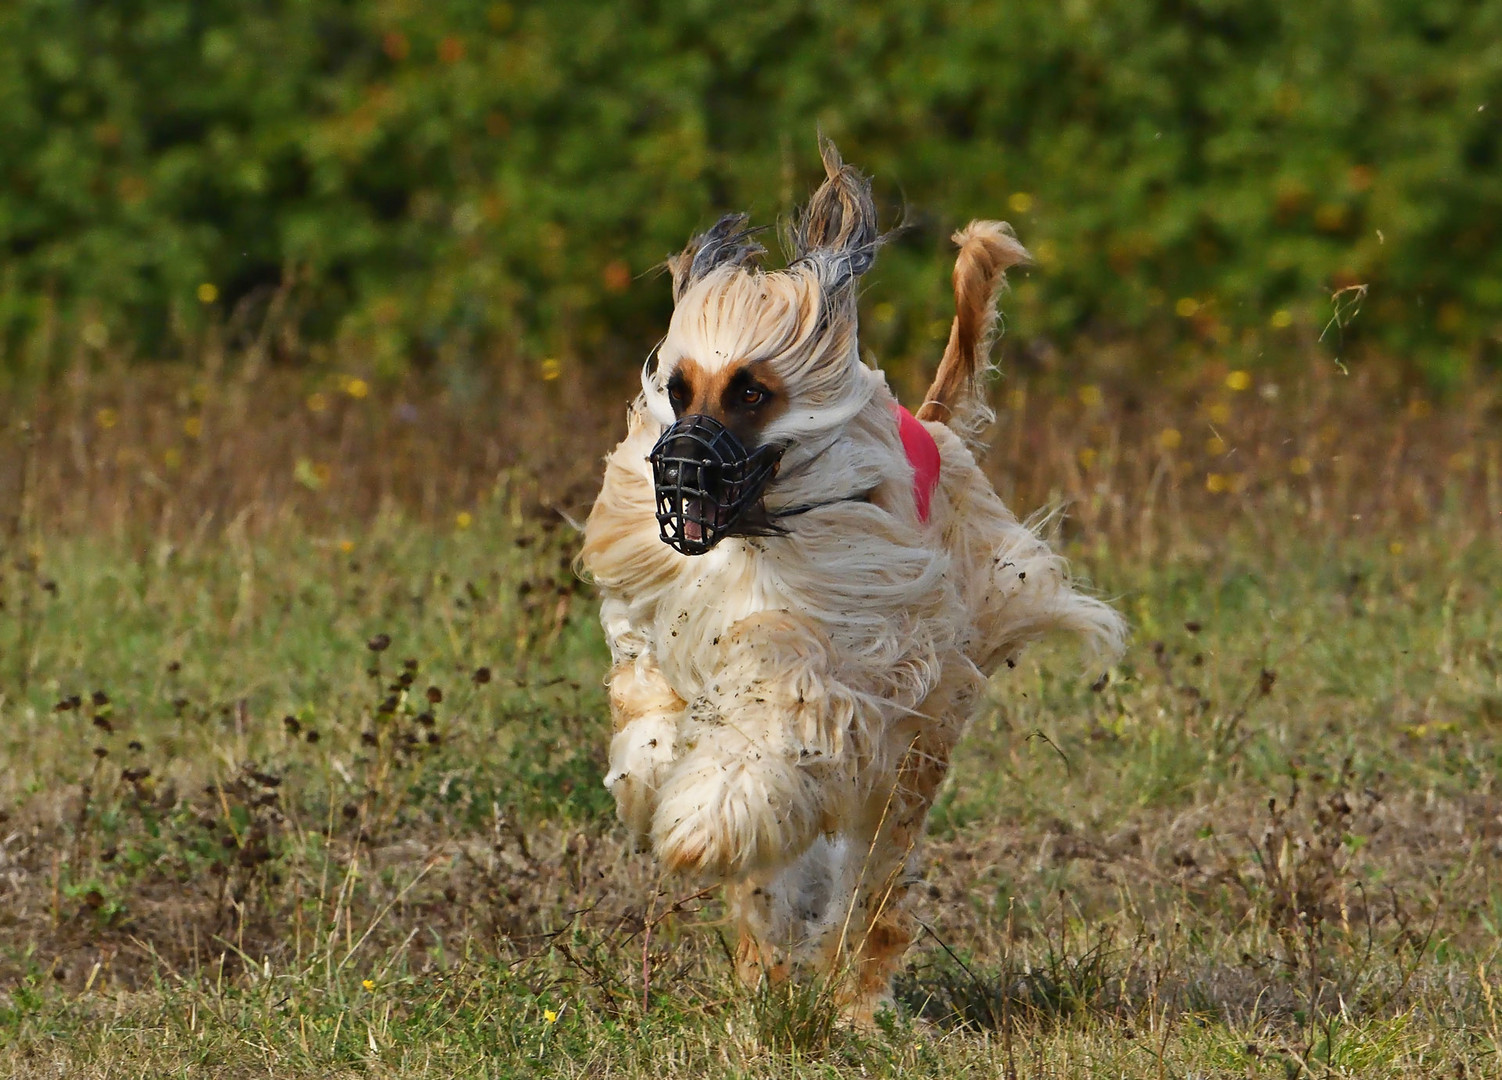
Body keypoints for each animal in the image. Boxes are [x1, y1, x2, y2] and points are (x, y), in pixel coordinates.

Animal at [579, 143, 1123, 1021]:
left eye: (751, 390)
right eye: (678, 388)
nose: (680, 472)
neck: (755, 536)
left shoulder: (834, 664)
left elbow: (768, 740)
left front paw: (700, 825)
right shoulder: (667, 633)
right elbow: (651, 716)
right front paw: (653, 778)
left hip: (914, 749)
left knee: (872, 885)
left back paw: (851, 997)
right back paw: (765, 976)